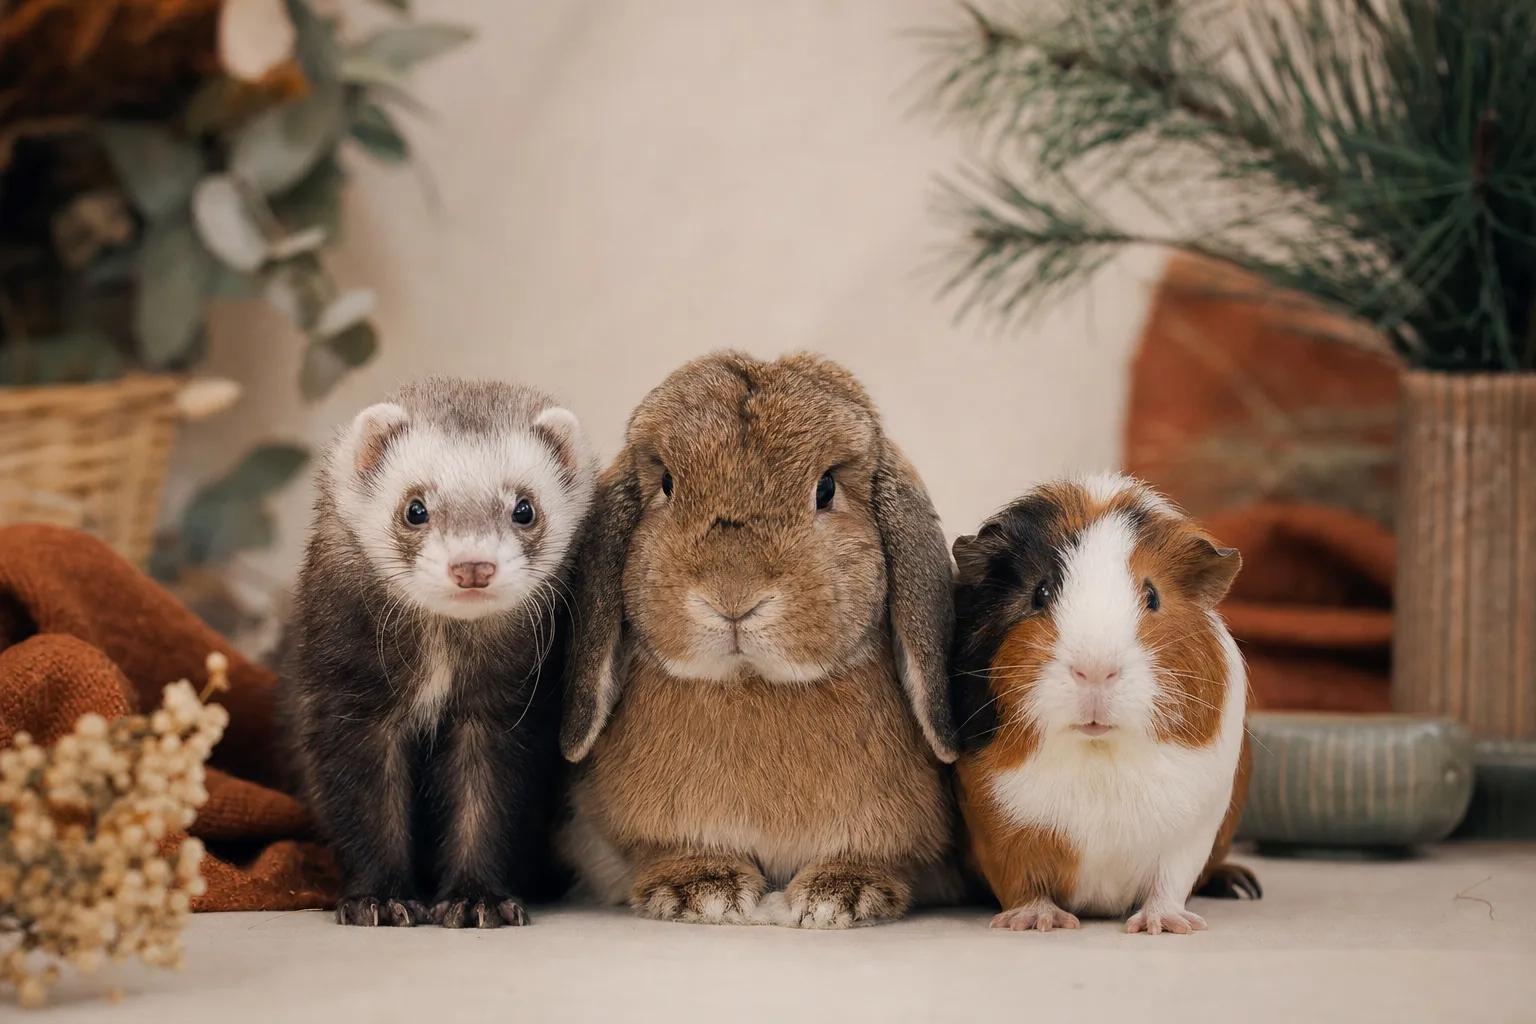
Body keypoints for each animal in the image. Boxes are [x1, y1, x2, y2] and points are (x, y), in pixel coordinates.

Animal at [556, 350, 960, 928]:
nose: (733, 594)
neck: (751, 681)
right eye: (668, 485)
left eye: (826, 489)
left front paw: (841, 895)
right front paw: (700, 890)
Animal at [949, 473, 1260, 935]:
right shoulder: (996, 829)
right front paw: (1037, 922)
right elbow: (1024, 881)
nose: (1095, 670)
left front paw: (1164, 926)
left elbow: (1168, 883)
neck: (1098, 751)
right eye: (1040, 592)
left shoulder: (1189, 834)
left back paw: (1243, 886)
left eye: (1152, 596)